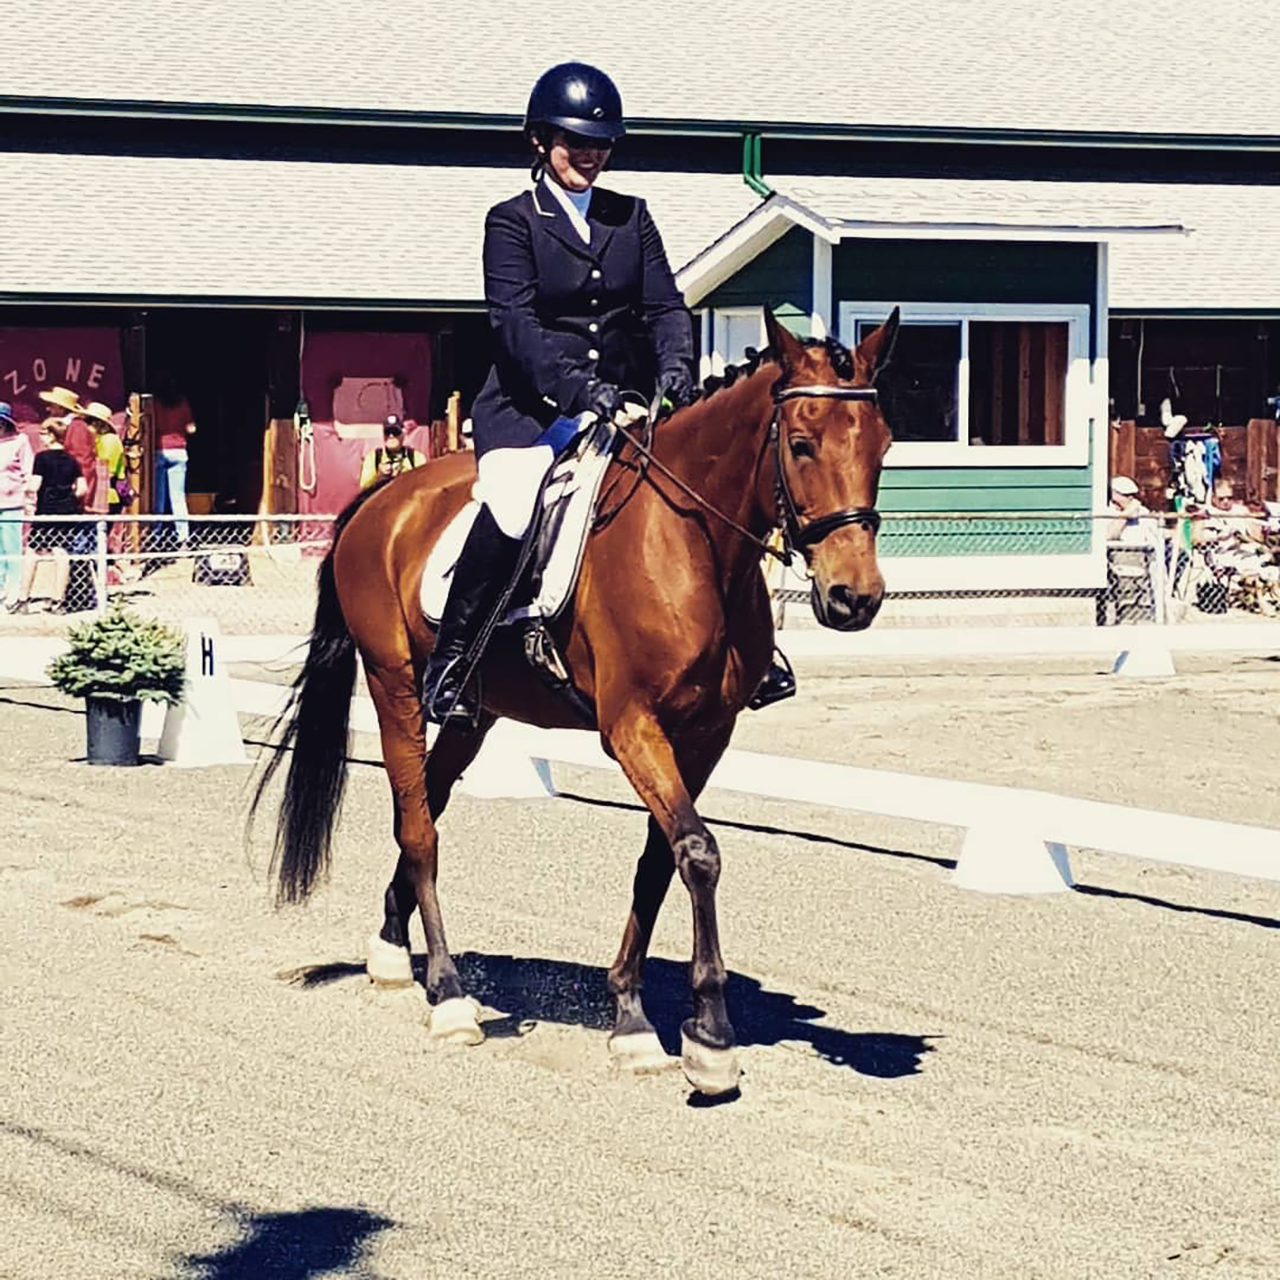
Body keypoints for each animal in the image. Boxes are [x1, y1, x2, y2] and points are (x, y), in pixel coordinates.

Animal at [254, 304, 901, 1095]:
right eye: (802, 445)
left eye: (883, 445)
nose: (854, 599)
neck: (693, 542)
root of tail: (385, 499)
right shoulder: (631, 726)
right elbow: (699, 851)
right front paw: (711, 1038)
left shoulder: (705, 734)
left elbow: (662, 860)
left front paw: (631, 1019)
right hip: (393, 684)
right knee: (420, 827)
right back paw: (450, 995)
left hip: (473, 712)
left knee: (427, 804)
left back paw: (389, 949)